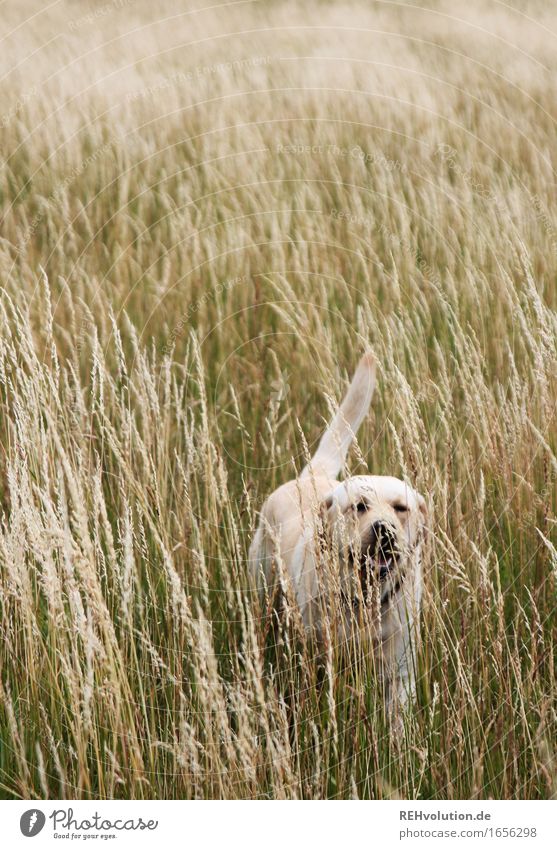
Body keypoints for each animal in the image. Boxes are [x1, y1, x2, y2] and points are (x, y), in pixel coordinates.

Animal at [248, 352, 426, 708]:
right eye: (359, 506)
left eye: (401, 508)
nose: (384, 530)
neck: (365, 602)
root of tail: (312, 476)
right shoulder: (315, 661)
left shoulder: (399, 671)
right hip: (262, 590)